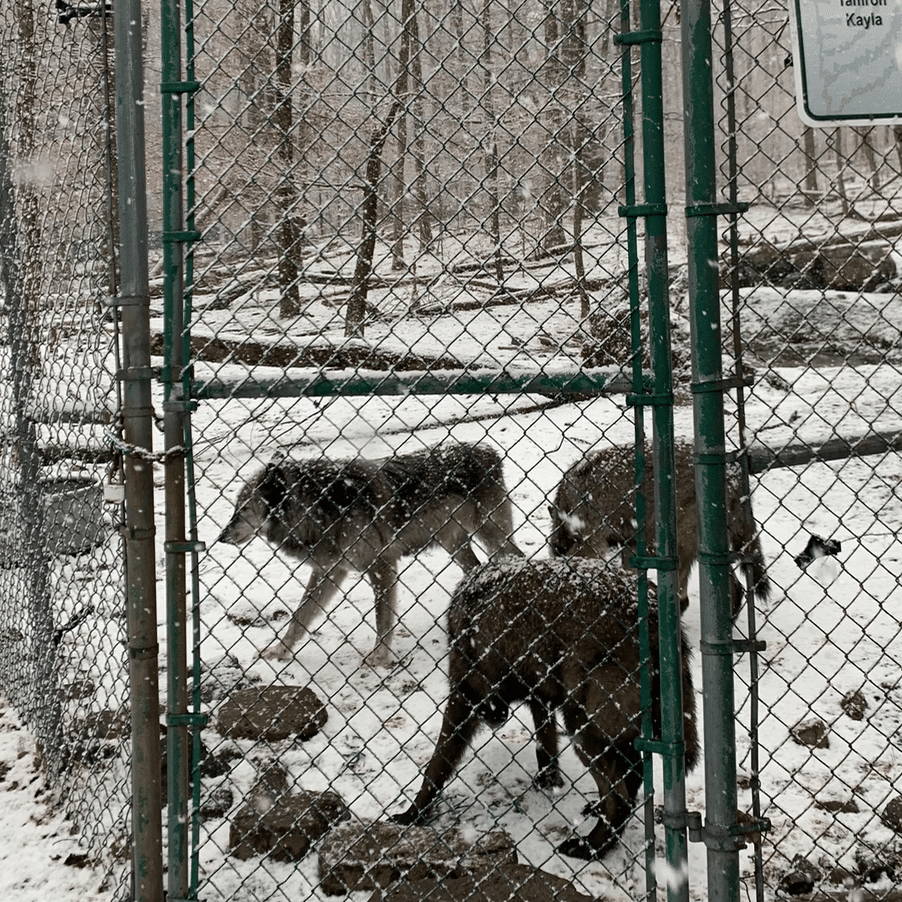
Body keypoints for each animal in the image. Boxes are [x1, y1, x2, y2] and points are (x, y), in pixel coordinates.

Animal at [215, 442, 524, 668]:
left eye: (242, 509)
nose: (219, 537)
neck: (319, 508)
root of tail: (489, 451)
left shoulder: (381, 566)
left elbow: (381, 618)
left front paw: (379, 657)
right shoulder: (330, 572)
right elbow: (300, 617)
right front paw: (279, 651)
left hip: (491, 537)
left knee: (515, 559)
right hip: (456, 545)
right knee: (476, 569)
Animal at [388, 556, 700, 860]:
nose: (498, 716)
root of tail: (651, 609)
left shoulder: (464, 695)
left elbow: (436, 765)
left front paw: (411, 815)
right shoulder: (541, 695)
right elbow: (545, 745)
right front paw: (548, 780)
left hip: (581, 725)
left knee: (620, 799)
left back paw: (589, 847)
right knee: (630, 778)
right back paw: (596, 816)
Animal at [548, 442, 772, 616]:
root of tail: (735, 472)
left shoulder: (595, 542)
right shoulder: (630, 546)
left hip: (682, 543)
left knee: (685, 599)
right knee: (737, 589)